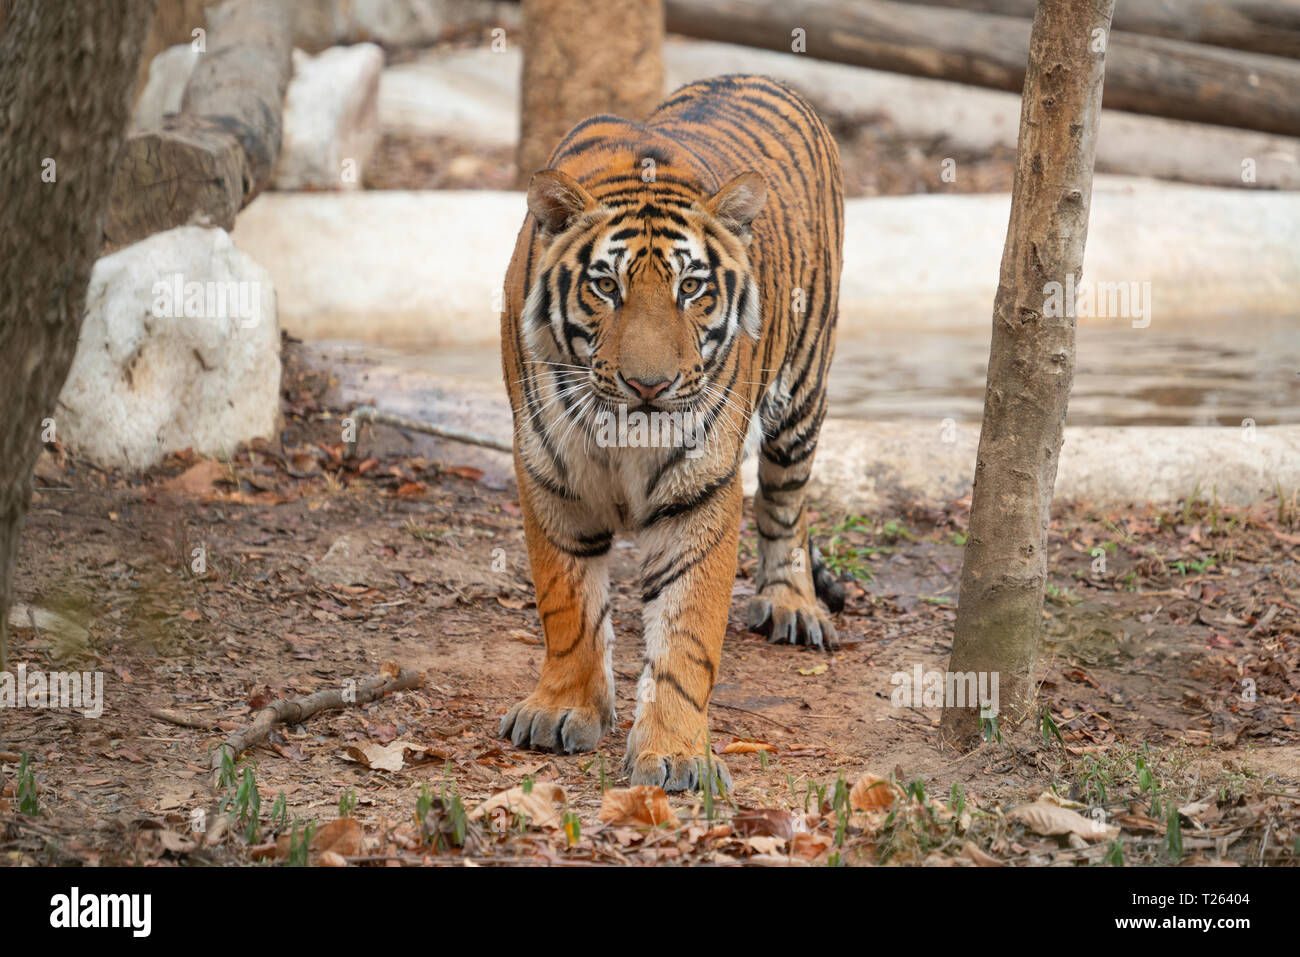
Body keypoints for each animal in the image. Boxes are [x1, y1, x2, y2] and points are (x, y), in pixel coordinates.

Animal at [493, 74, 842, 790]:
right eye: (605, 286)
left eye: (691, 288)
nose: (649, 386)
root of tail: (763, 75)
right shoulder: (548, 472)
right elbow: (566, 605)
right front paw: (562, 708)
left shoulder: (700, 492)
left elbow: (688, 634)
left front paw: (676, 753)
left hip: (802, 392)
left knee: (786, 504)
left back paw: (792, 604)